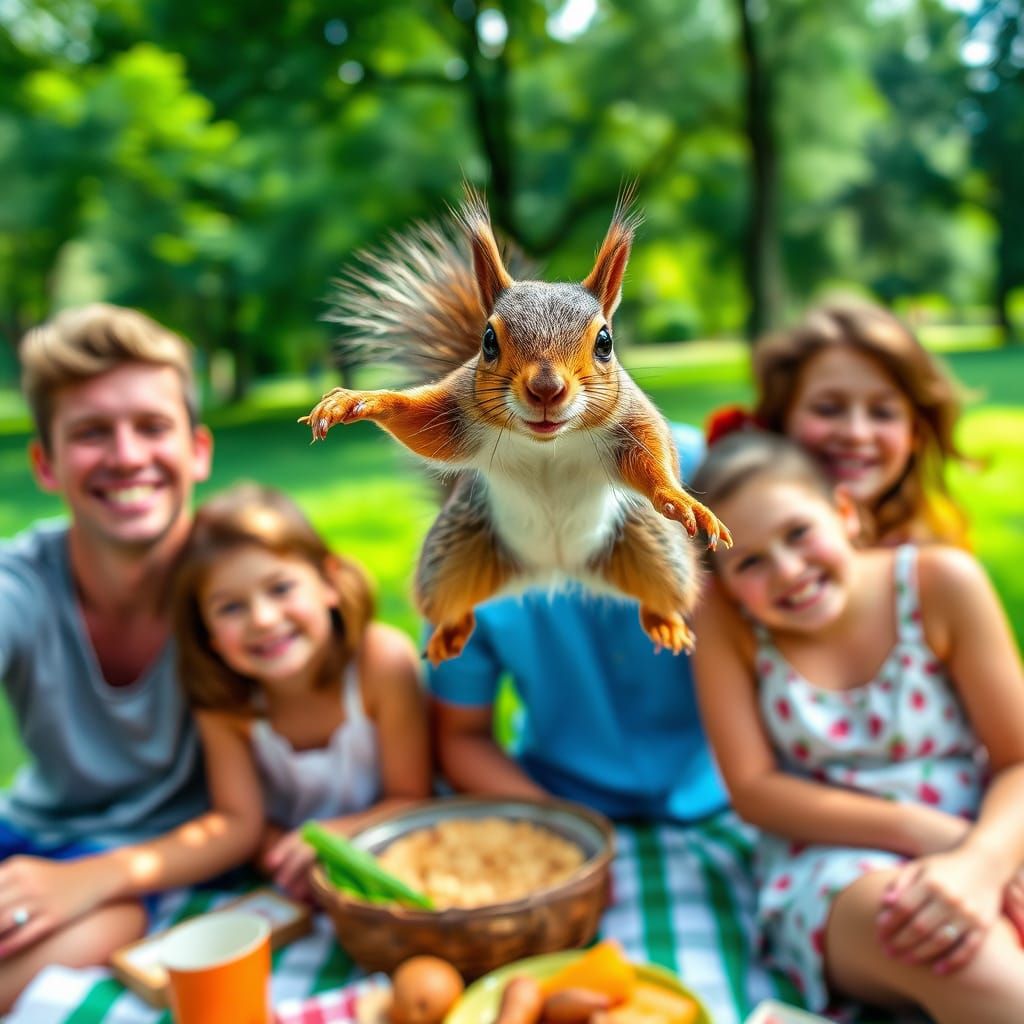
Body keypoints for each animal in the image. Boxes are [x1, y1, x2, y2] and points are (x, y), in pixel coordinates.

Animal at [301, 188, 731, 665]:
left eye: (605, 341)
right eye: (488, 340)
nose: (546, 389)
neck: (547, 443)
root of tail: (555, 571)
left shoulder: (630, 420)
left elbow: (653, 456)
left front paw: (680, 500)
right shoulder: (458, 411)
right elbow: (425, 425)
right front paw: (359, 401)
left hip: (654, 553)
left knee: (663, 591)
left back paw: (666, 622)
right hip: (451, 558)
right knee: (453, 601)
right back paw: (449, 631)